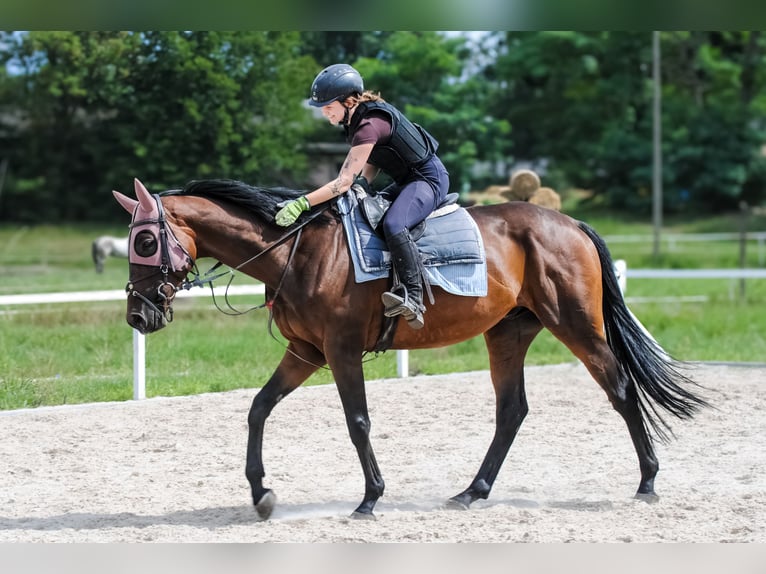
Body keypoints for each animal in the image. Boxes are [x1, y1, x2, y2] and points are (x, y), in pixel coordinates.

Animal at [111, 179, 712, 520]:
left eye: (146, 240)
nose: (138, 316)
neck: (297, 252)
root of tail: (569, 222)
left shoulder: (340, 351)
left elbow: (357, 421)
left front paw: (371, 497)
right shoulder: (306, 351)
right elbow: (258, 408)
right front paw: (261, 493)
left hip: (577, 326)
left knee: (620, 388)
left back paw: (648, 481)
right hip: (508, 333)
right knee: (512, 411)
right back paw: (472, 492)